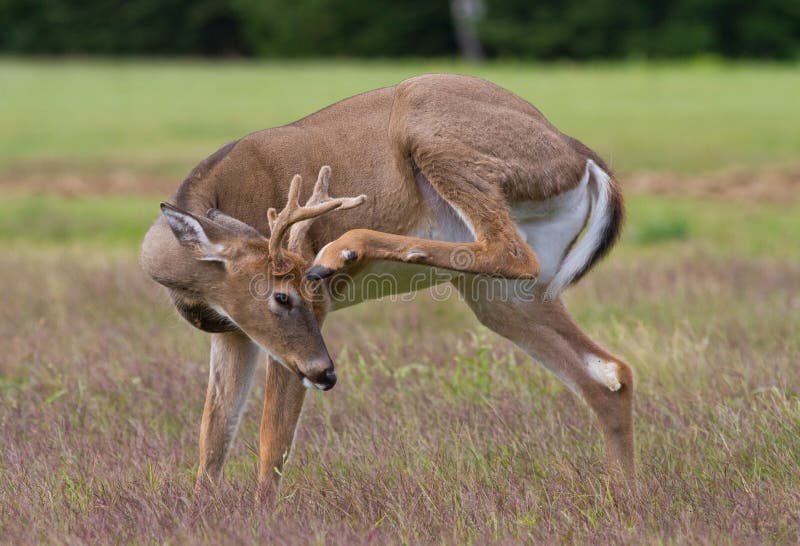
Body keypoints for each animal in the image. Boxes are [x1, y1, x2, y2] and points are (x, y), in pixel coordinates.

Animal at [140, 73, 634, 502]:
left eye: (298, 295)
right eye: (280, 296)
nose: (327, 373)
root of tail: (581, 156)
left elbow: (271, 439)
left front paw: (262, 515)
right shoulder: (234, 331)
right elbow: (213, 437)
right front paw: (203, 511)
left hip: (430, 123)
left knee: (510, 250)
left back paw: (343, 249)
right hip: (503, 295)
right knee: (610, 373)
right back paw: (622, 498)